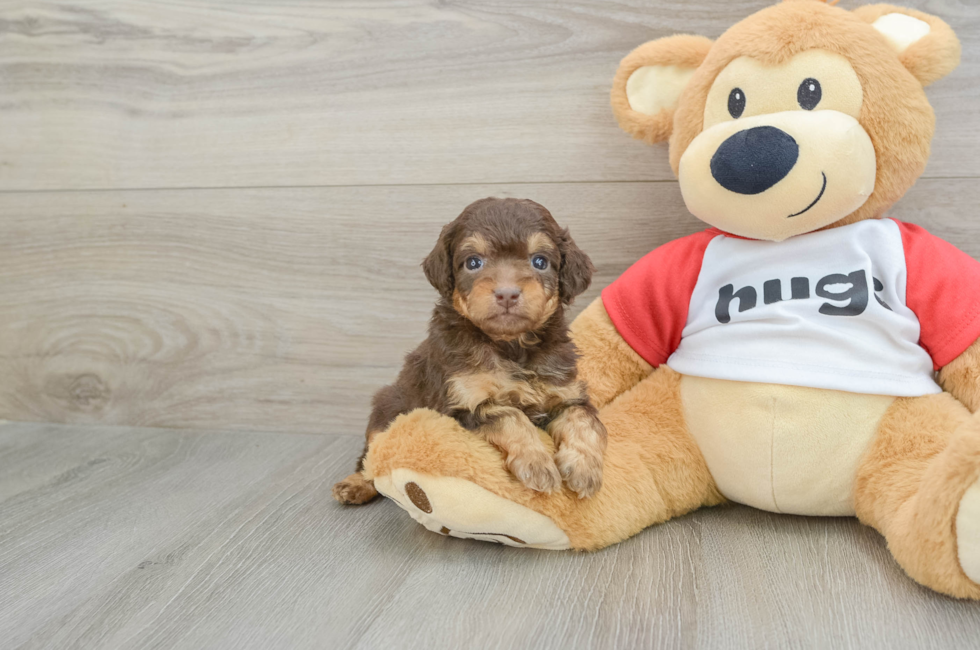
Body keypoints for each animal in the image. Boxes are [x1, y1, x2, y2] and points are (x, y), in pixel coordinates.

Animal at [334, 195, 604, 504]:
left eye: (540, 261)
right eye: (473, 262)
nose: (507, 293)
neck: (510, 346)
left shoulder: (566, 394)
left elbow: (585, 419)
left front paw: (584, 468)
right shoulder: (461, 407)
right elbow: (509, 415)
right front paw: (537, 463)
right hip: (387, 407)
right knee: (372, 456)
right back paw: (356, 484)